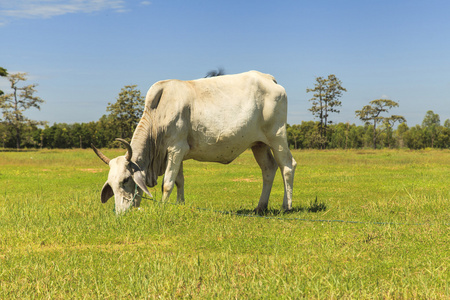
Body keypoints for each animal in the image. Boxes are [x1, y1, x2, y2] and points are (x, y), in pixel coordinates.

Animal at [92, 71, 296, 213]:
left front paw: (163, 207)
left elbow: (167, 183)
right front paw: (179, 204)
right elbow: (179, 181)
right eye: (110, 184)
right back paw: (260, 207)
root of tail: (269, 79)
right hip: (258, 144)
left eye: (126, 180)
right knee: (268, 169)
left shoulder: (176, 148)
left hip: (277, 136)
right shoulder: (178, 153)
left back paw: (286, 206)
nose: (120, 213)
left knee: (287, 165)